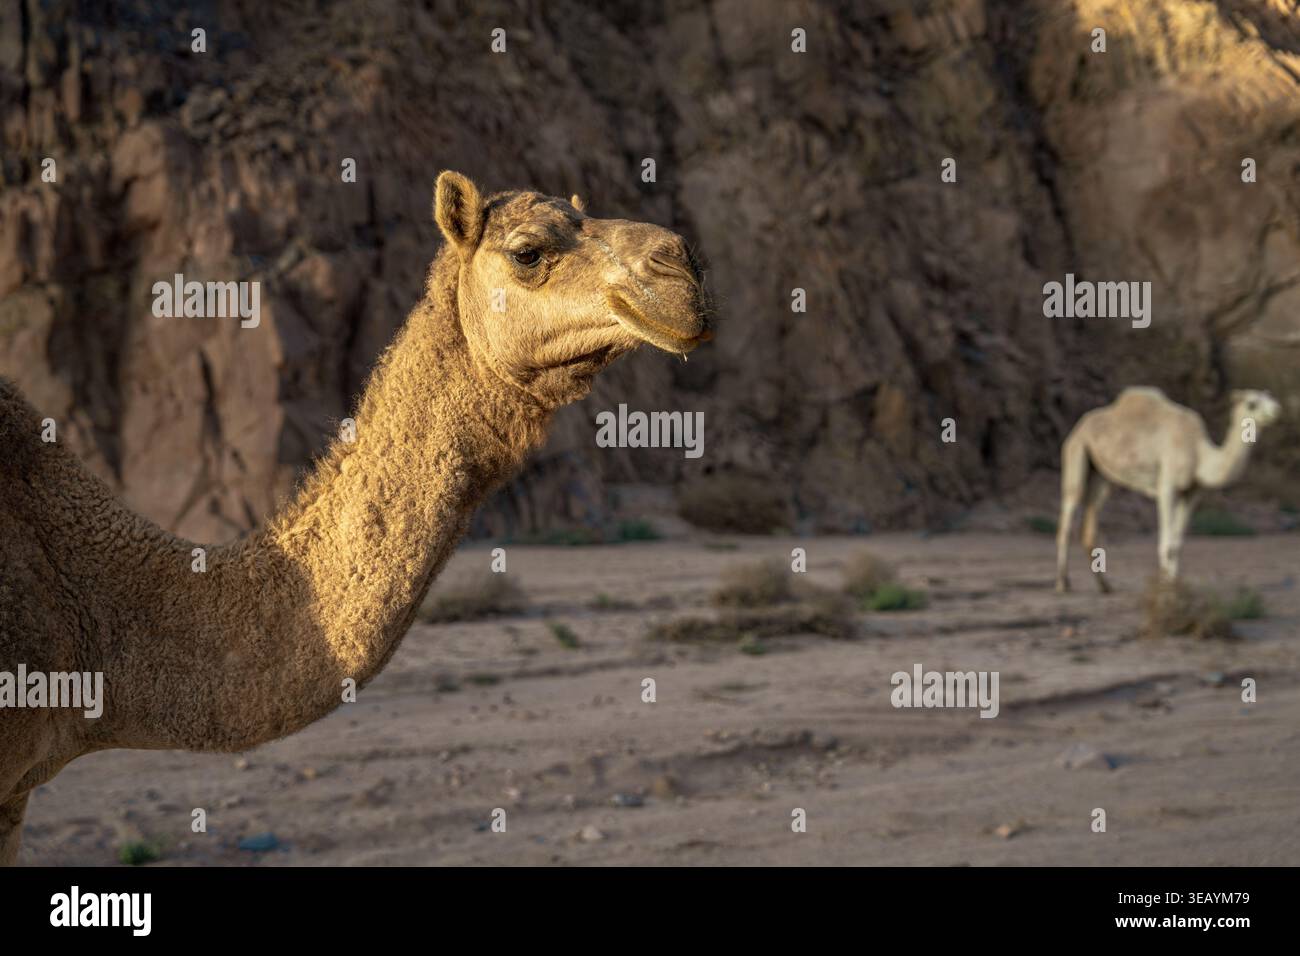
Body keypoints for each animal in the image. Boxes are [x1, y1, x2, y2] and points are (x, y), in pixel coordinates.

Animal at [1055, 386, 1281, 592]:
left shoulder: (1192, 493)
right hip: (1076, 451)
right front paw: (1166, 590)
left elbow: (1177, 544)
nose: (1276, 410)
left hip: (1101, 475)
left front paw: (1174, 586)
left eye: (1269, 397)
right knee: (1068, 513)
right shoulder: (1167, 486)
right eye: (1252, 403)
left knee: (1090, 520)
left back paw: (1105, 586)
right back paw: (1063, 584)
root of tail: (1080, 425)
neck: (1199, 453)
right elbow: (1166, 544)